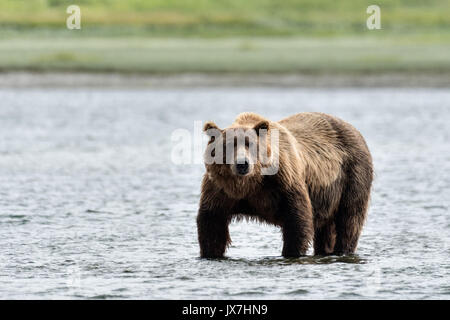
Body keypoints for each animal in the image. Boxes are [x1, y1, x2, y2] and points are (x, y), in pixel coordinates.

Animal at [197, 112, 372, 258]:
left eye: (250, 144)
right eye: (228, 145)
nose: (242, 164)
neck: (250, 184)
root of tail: (354, 129)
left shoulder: (284, 182)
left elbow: (297, 220)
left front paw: (291, 252)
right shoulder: (220, 189)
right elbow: (212, 223)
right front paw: (210, 253)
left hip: (353, 175)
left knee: (349, 220)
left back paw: (343, 250)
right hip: (328, 197)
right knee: (327, 229)